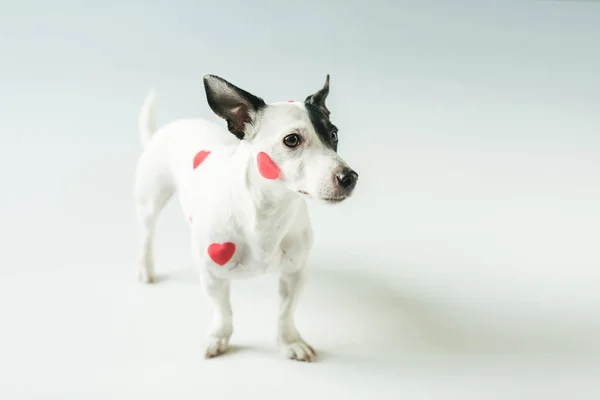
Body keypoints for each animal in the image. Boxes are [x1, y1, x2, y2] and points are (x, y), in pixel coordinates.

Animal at [134, 73, 358, 360]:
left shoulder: (294, 274)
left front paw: (289, 341)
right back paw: (145, 267)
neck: (269, 211)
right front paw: (218, 336)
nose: (349, 177)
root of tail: (166, 129)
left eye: (334, 134)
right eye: (292, 140)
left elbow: (285, 312)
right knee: (147, 233)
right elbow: (223, 310)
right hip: (150, 200)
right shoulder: (212, 276)